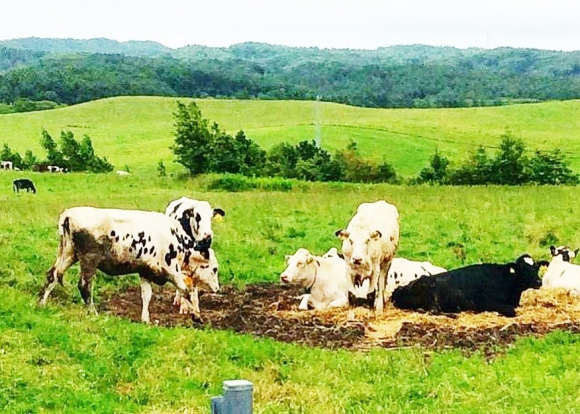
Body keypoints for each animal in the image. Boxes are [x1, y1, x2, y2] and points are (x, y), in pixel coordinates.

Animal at [38, 201, 224, 324]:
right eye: (214, 269)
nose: (217, 289)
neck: (178, 240)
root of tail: (69, 215)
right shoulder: (172, 271)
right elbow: (185, 291)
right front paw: (196, 316)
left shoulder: (146, 271)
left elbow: (147, 295)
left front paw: (145, 319)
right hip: (89, 260)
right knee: (84, 286)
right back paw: (93, 312)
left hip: (69, 254)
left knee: (53, 275)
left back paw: (41, 304)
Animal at [390, 252, 544, 316]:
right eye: (524, 268)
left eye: (537, 268)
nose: (539, 281)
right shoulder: (482, 301)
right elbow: (511, 310)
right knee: (433, 311)